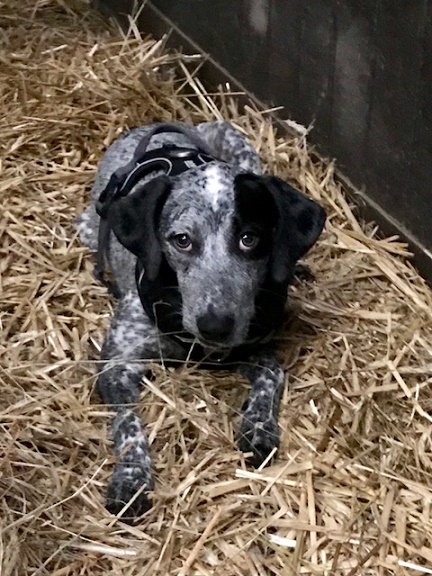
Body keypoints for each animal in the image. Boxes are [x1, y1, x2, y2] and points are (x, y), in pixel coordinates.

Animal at [76, 120, 326, 522]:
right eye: (182, 240)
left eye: (249, 239)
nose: (215, 325)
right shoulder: (117, 365)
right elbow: (128, 426)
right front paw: (131, 478)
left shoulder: (254, 347)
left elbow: (272, 377)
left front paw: (258, 427)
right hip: (87, 226)